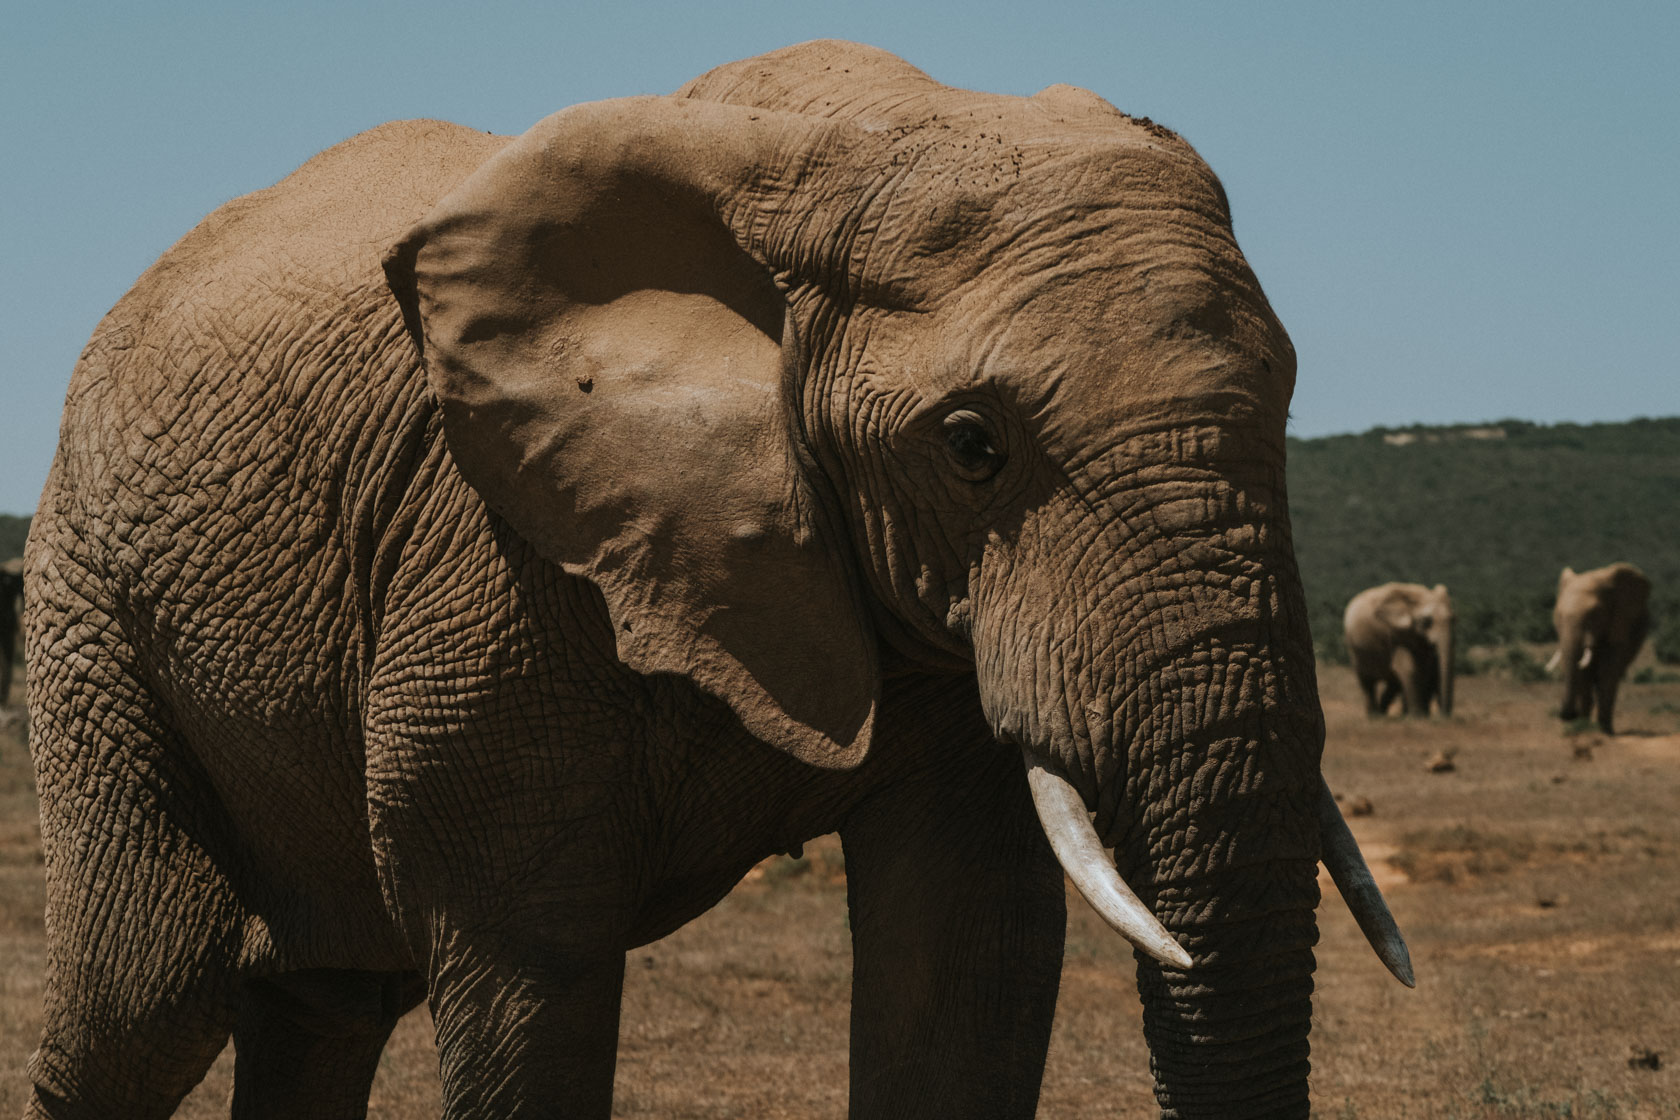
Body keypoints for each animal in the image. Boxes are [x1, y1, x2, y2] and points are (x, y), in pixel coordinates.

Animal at [22, 41, 1404, 1120]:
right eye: (972, 446)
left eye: (1288, 406)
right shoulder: (495, 550)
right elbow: (527, 963)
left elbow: (966, 950)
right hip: (89, 607)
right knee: (148, 1003)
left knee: (324, 1006)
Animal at [1337, 577, 1458, 718]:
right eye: (1426, 621)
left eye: (1454, 619)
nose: (1442, 716)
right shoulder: (1396, 634)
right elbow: (1409, 668)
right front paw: (1418, 717)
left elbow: (1423, 669)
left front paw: (1421, 715)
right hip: (1353, 646)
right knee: (1366, 681)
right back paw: (1375, 716)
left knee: (1393, 682)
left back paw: (1384, 712)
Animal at [1545, 560, 1653, 735]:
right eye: (1558, 615)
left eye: (1595, 614)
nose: (1568, 715)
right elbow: (1583, 673)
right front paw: (1582, 727)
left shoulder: (1619, 623)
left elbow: (1608, 670)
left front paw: (1604, 731)